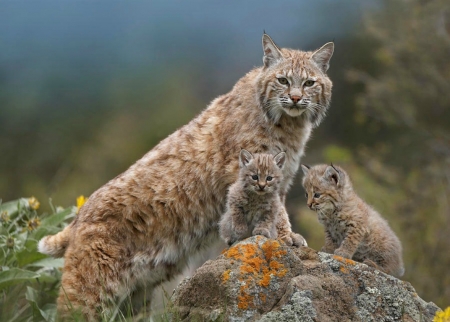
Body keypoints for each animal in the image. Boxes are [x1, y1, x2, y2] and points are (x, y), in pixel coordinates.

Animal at [38, 33, 334, 320]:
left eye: (309, 83)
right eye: (282, 80)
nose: (295, 98)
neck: (289, 124)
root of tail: (79, 215)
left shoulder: (279, 179)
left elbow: (276, 208)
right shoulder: (248, 174)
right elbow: (277, 212)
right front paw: (286, 237)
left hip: (137, 294)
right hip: (90, 292)